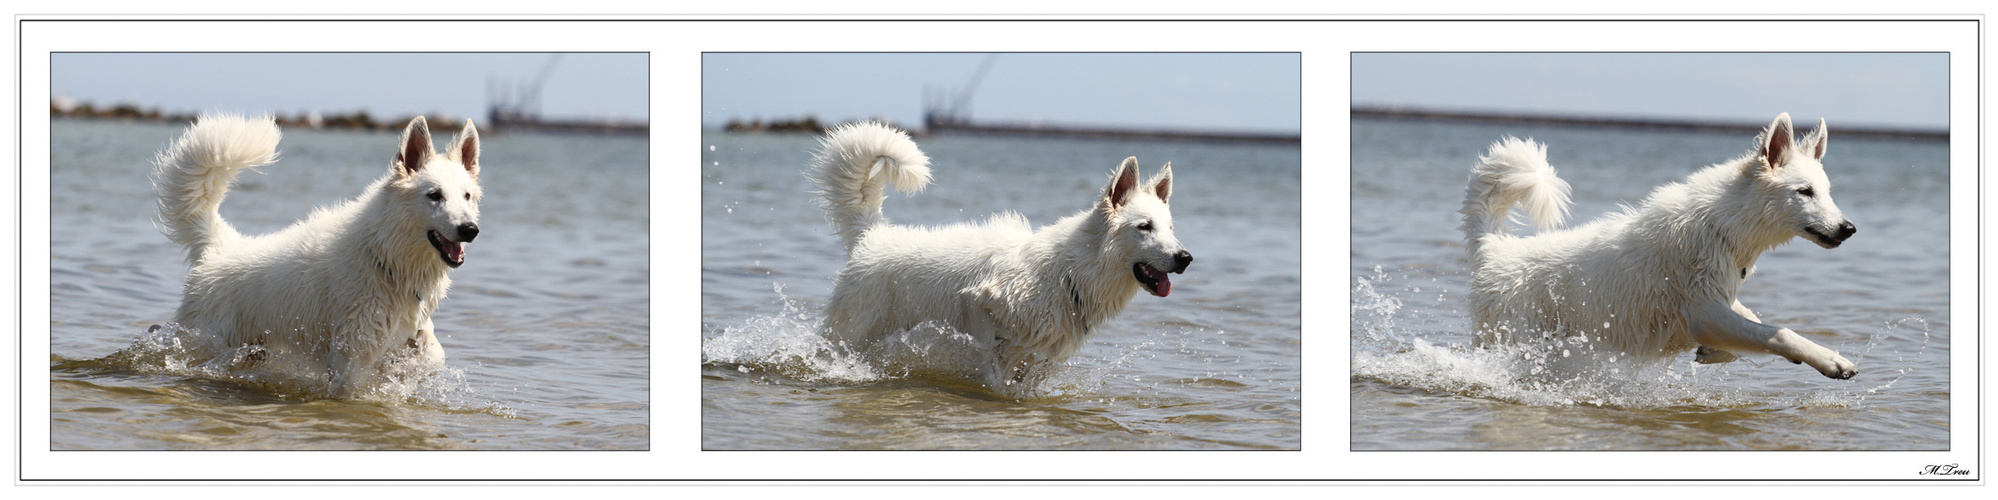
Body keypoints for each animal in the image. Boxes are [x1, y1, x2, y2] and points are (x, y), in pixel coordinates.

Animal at [153, 112, 485, 394]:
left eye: (467, 196)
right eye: (434, 195)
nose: (470, 229)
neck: (383, 255)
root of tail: (221, 246)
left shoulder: (409, 330)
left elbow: (433, 356)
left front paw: (406, 369)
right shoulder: (351, 353)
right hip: (209, 341)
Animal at [807, 122, 1190, 386]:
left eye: (1171, 228)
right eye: (1144, 227)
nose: (1185, 258)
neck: (1068, 272)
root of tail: (872, 235)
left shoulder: (1040, 359)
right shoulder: (978, 302)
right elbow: (988, 360)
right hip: (851, 334)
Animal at [1470, 113, 1854, 378]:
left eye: (1827, 192)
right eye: (1804, 192)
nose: (1848, 228)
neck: (1722, 225)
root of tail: (1494, 249)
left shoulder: (1717, 301)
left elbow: (1752, 324)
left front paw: (1711, 353)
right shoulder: (1703, 312)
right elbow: (1778, 333)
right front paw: (1831, 360)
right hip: (1515, 339)